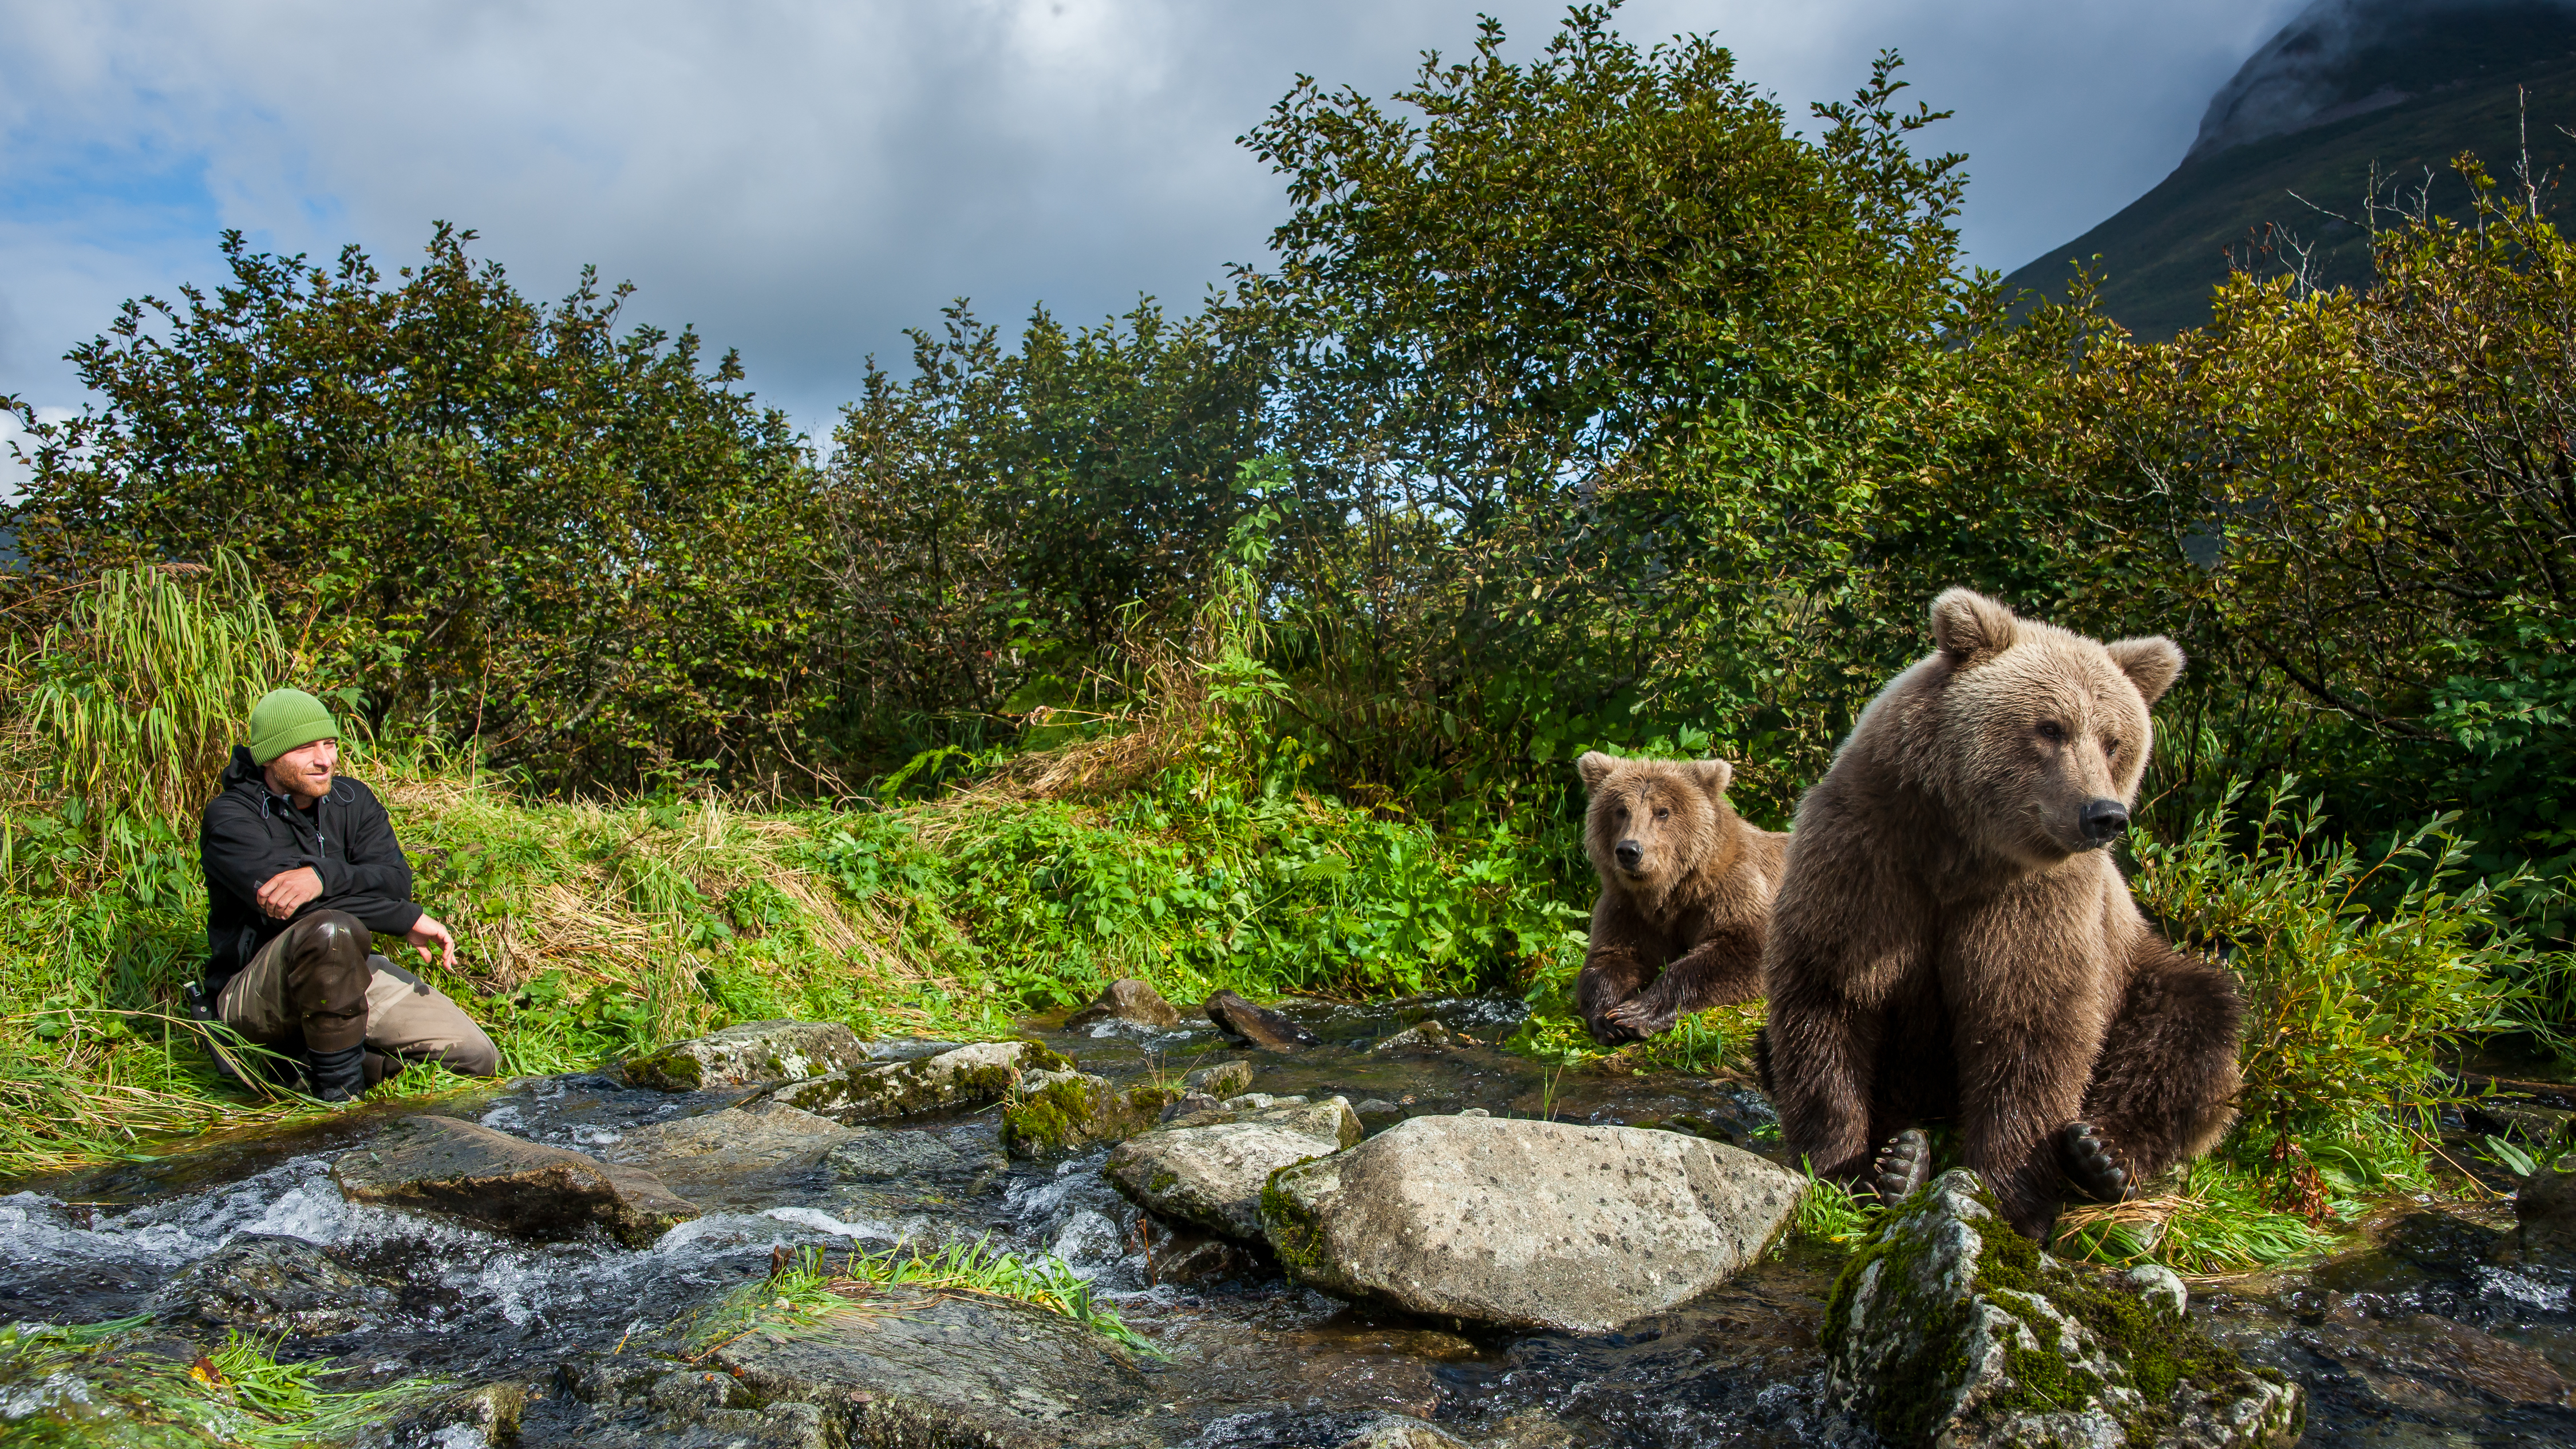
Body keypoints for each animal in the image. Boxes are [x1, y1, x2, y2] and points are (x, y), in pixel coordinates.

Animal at [1566, 748, 1793, 1041]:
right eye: (1621, 810)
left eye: (1662, 812)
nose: (1630, 850)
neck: (1671, 890)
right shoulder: (1629, 908)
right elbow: (1613, 957)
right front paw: (1608, 1017)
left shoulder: (1732, 891)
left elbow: (1744, 949)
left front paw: (1635, 1013)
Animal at [1762, 593, 2246, 1237]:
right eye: (2051, 726)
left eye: (2114, 740)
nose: (2104, 814)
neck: (1960, 847)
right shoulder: (1869, 856)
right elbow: (1832, 995)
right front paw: (1851, 1166)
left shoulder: (2033, 900)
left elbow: (2029, 1024)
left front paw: (2006, 1196)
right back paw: (1906, 1159)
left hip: (2137, 964)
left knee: (2193, 1021)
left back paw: (2102, 1156)